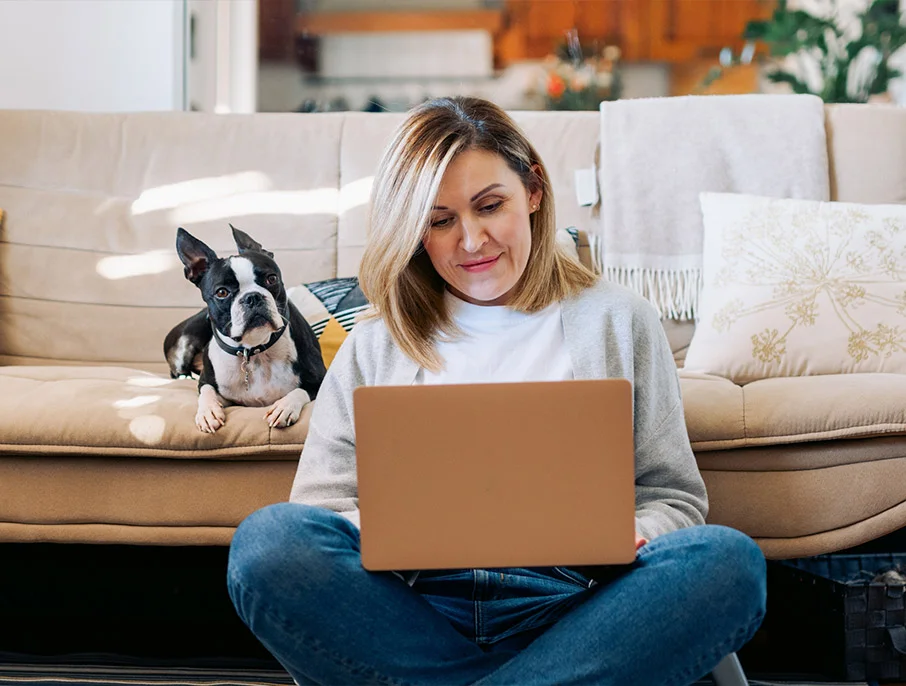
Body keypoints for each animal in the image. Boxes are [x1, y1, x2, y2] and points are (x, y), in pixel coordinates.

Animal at [163, 228, 324, 438]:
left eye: (271, 279)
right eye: (222, 292)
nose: (252, 297)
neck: (253, 350)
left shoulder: (320, 379)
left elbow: (299, 391)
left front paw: (284, 407)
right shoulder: (212, 385)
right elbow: (206, 390)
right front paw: (207, 412)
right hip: (185, 341)